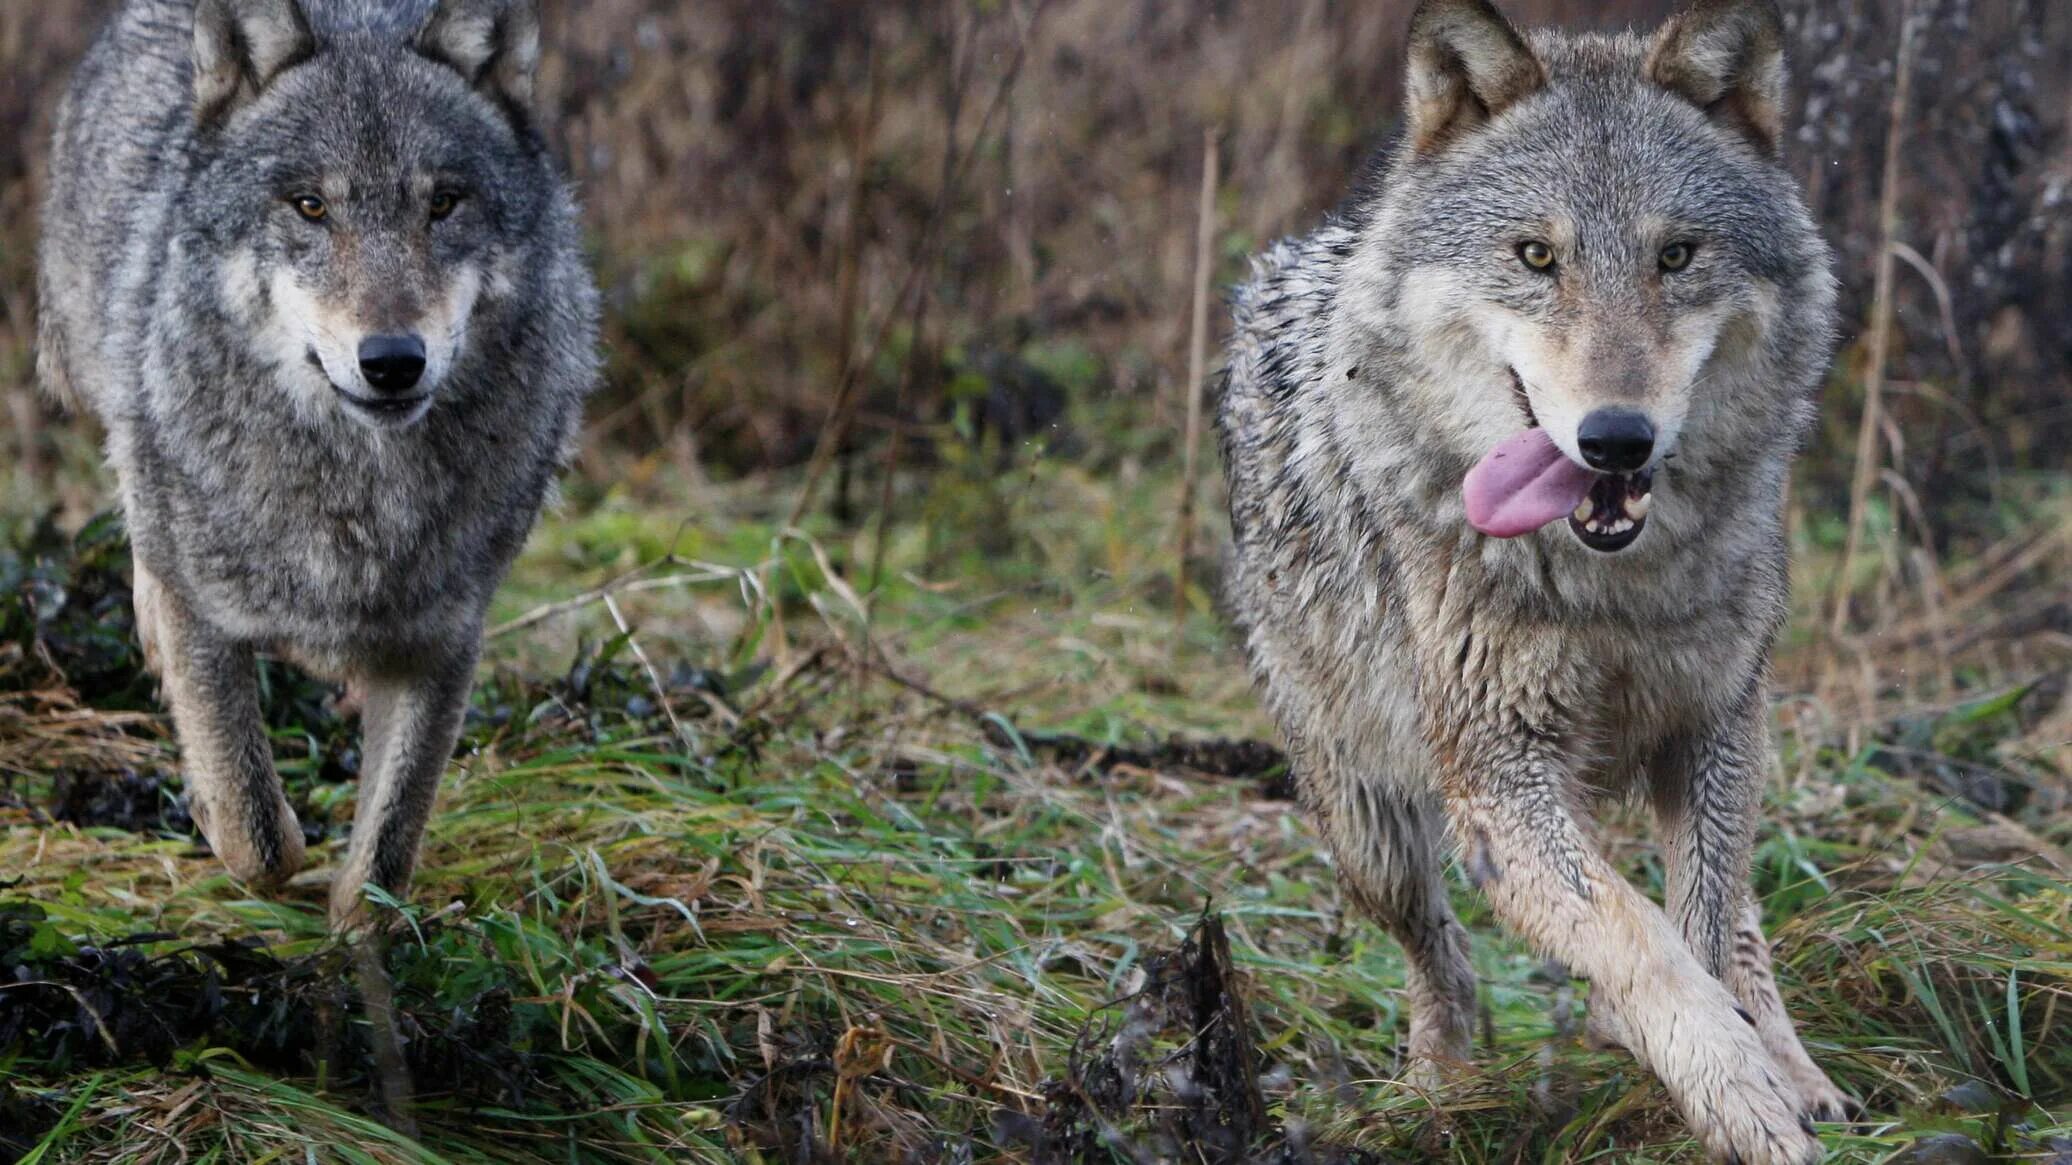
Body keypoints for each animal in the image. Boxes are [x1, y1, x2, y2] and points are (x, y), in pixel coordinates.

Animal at [38, 0, 600, 924]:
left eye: (444, 203)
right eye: (310, 206)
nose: (393, 360)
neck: (356, 496)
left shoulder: (443, 640)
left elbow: (384, 857)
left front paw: (357, 938)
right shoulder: (206, 619)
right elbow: (259, 833)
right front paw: (226, 820)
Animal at [1210, 2, 1848, 1152]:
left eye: (1676, 255)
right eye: (1536, 255)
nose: (1614, 437)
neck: (1613, 587)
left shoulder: (1715, 724)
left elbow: (1697, 925)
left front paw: (1758, 1073)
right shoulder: (1498, 775)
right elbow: (1639, 940)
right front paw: (1738, 1098)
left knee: (1736, 909)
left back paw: (1793, 1059)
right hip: (1369, 825)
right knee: (1437, 949)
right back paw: (1442, 1082)